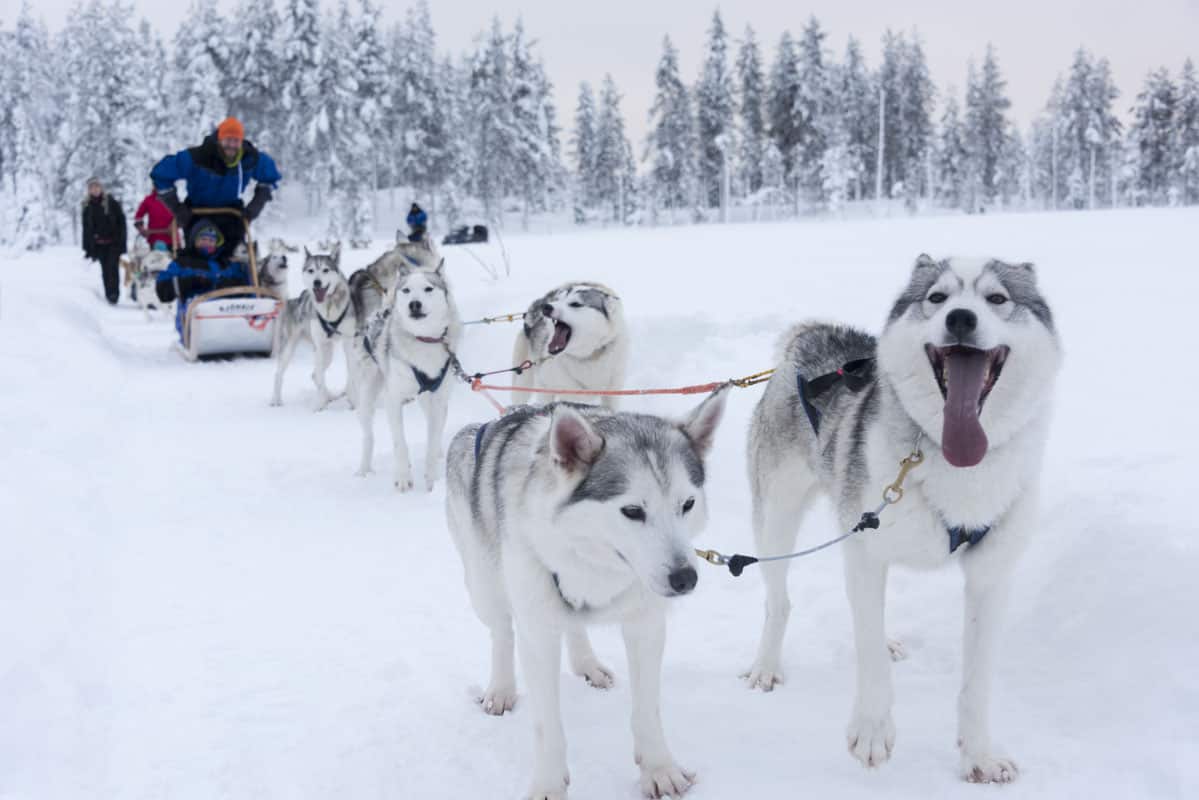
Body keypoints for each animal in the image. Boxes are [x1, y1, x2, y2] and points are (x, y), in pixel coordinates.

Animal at [267, 242, 350, 407]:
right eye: (311, 270)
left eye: (325, 270)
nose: (316, 282)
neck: (329, 309)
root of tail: (293, 301)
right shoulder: (320, 345)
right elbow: (321, 378)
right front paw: (320, 405)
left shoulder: (349, 342)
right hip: (292, 348)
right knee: (280, 374)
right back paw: (276, 400)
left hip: (327, 352)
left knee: (315, 375)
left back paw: (330, 396)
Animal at [352, 260, 460, 491]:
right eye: (406, 290)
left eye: (428, 288)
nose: (414, 304)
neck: (423, 340)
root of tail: (382, 311)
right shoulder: (393, 399)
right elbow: (399, 443)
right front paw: (403, 478)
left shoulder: (438, 400)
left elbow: (432, 440)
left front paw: (432, 481)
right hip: (366, 396)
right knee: (368, 437)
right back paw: (364, 470)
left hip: (429, 401)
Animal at [446, 391, 724, 796]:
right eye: (632, 511)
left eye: (687, 504)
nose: (685, 578)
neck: (593, 561)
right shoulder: (538, 634)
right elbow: (547, 726)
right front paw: (548, 786)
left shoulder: (646, 628)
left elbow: (647, 711)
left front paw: (659, 769)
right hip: (485, 586)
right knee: (502, 631)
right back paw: (501, 688)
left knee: (574, 626)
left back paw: (587, 664)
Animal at [743, 255, 1064, 782]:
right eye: (937, 297)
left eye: (997, 298)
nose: (960, 318)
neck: (952, 461)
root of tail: (812, 335)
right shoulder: (865, 551)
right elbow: (868, 654)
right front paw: (872, 731)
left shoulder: (990, 576)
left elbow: (976, 682)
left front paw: (979, 754)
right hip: (777, 519)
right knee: (778, 601)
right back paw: (767, 665)